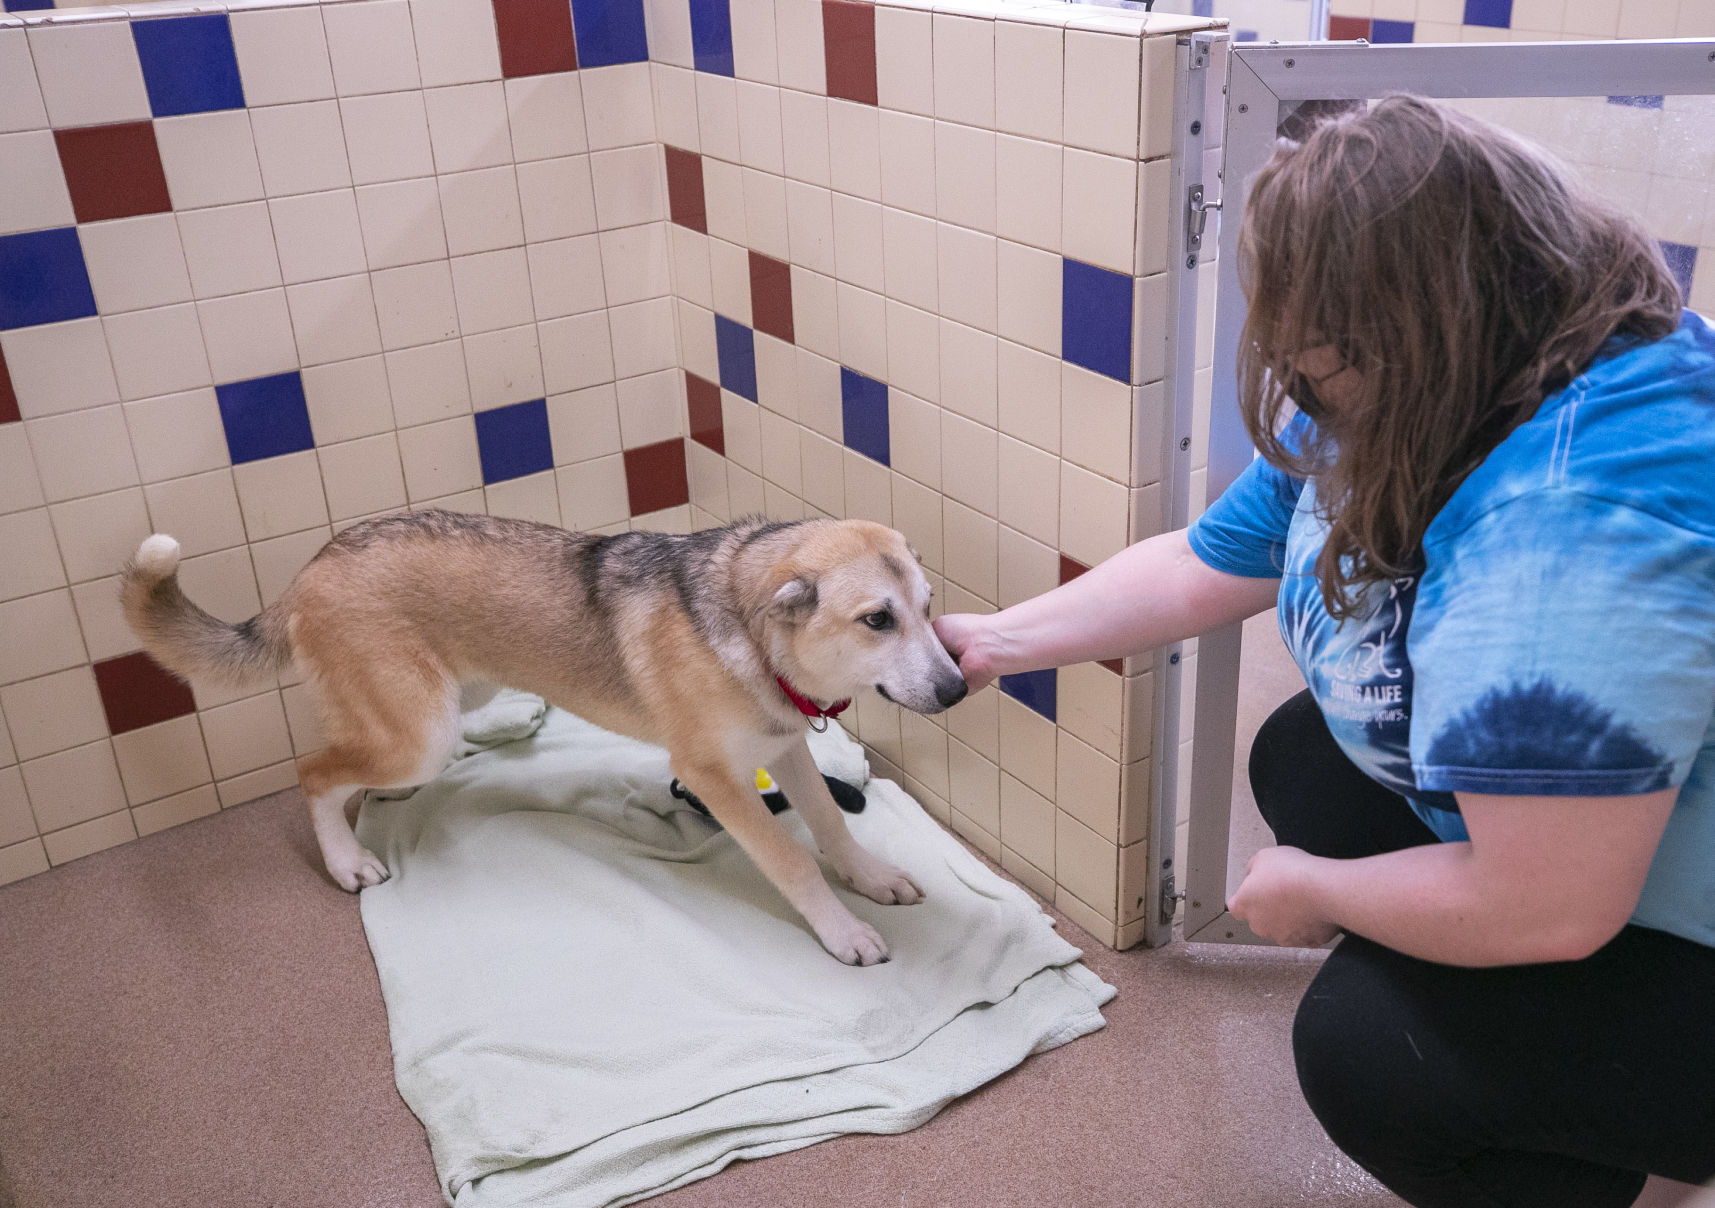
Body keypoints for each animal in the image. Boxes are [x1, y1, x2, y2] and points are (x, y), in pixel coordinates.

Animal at [124, 514, 967, 967]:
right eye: (877, 619)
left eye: (928, 607)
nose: (959, 689)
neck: (751, 635)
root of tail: (307, 569)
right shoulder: (713, 774)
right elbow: (791, 859)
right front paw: (842, 931)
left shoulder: (784, 744)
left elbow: (828, 822)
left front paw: (870, 877)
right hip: (424, 729)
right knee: (314, 772)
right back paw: (345, 861)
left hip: (453, 699)